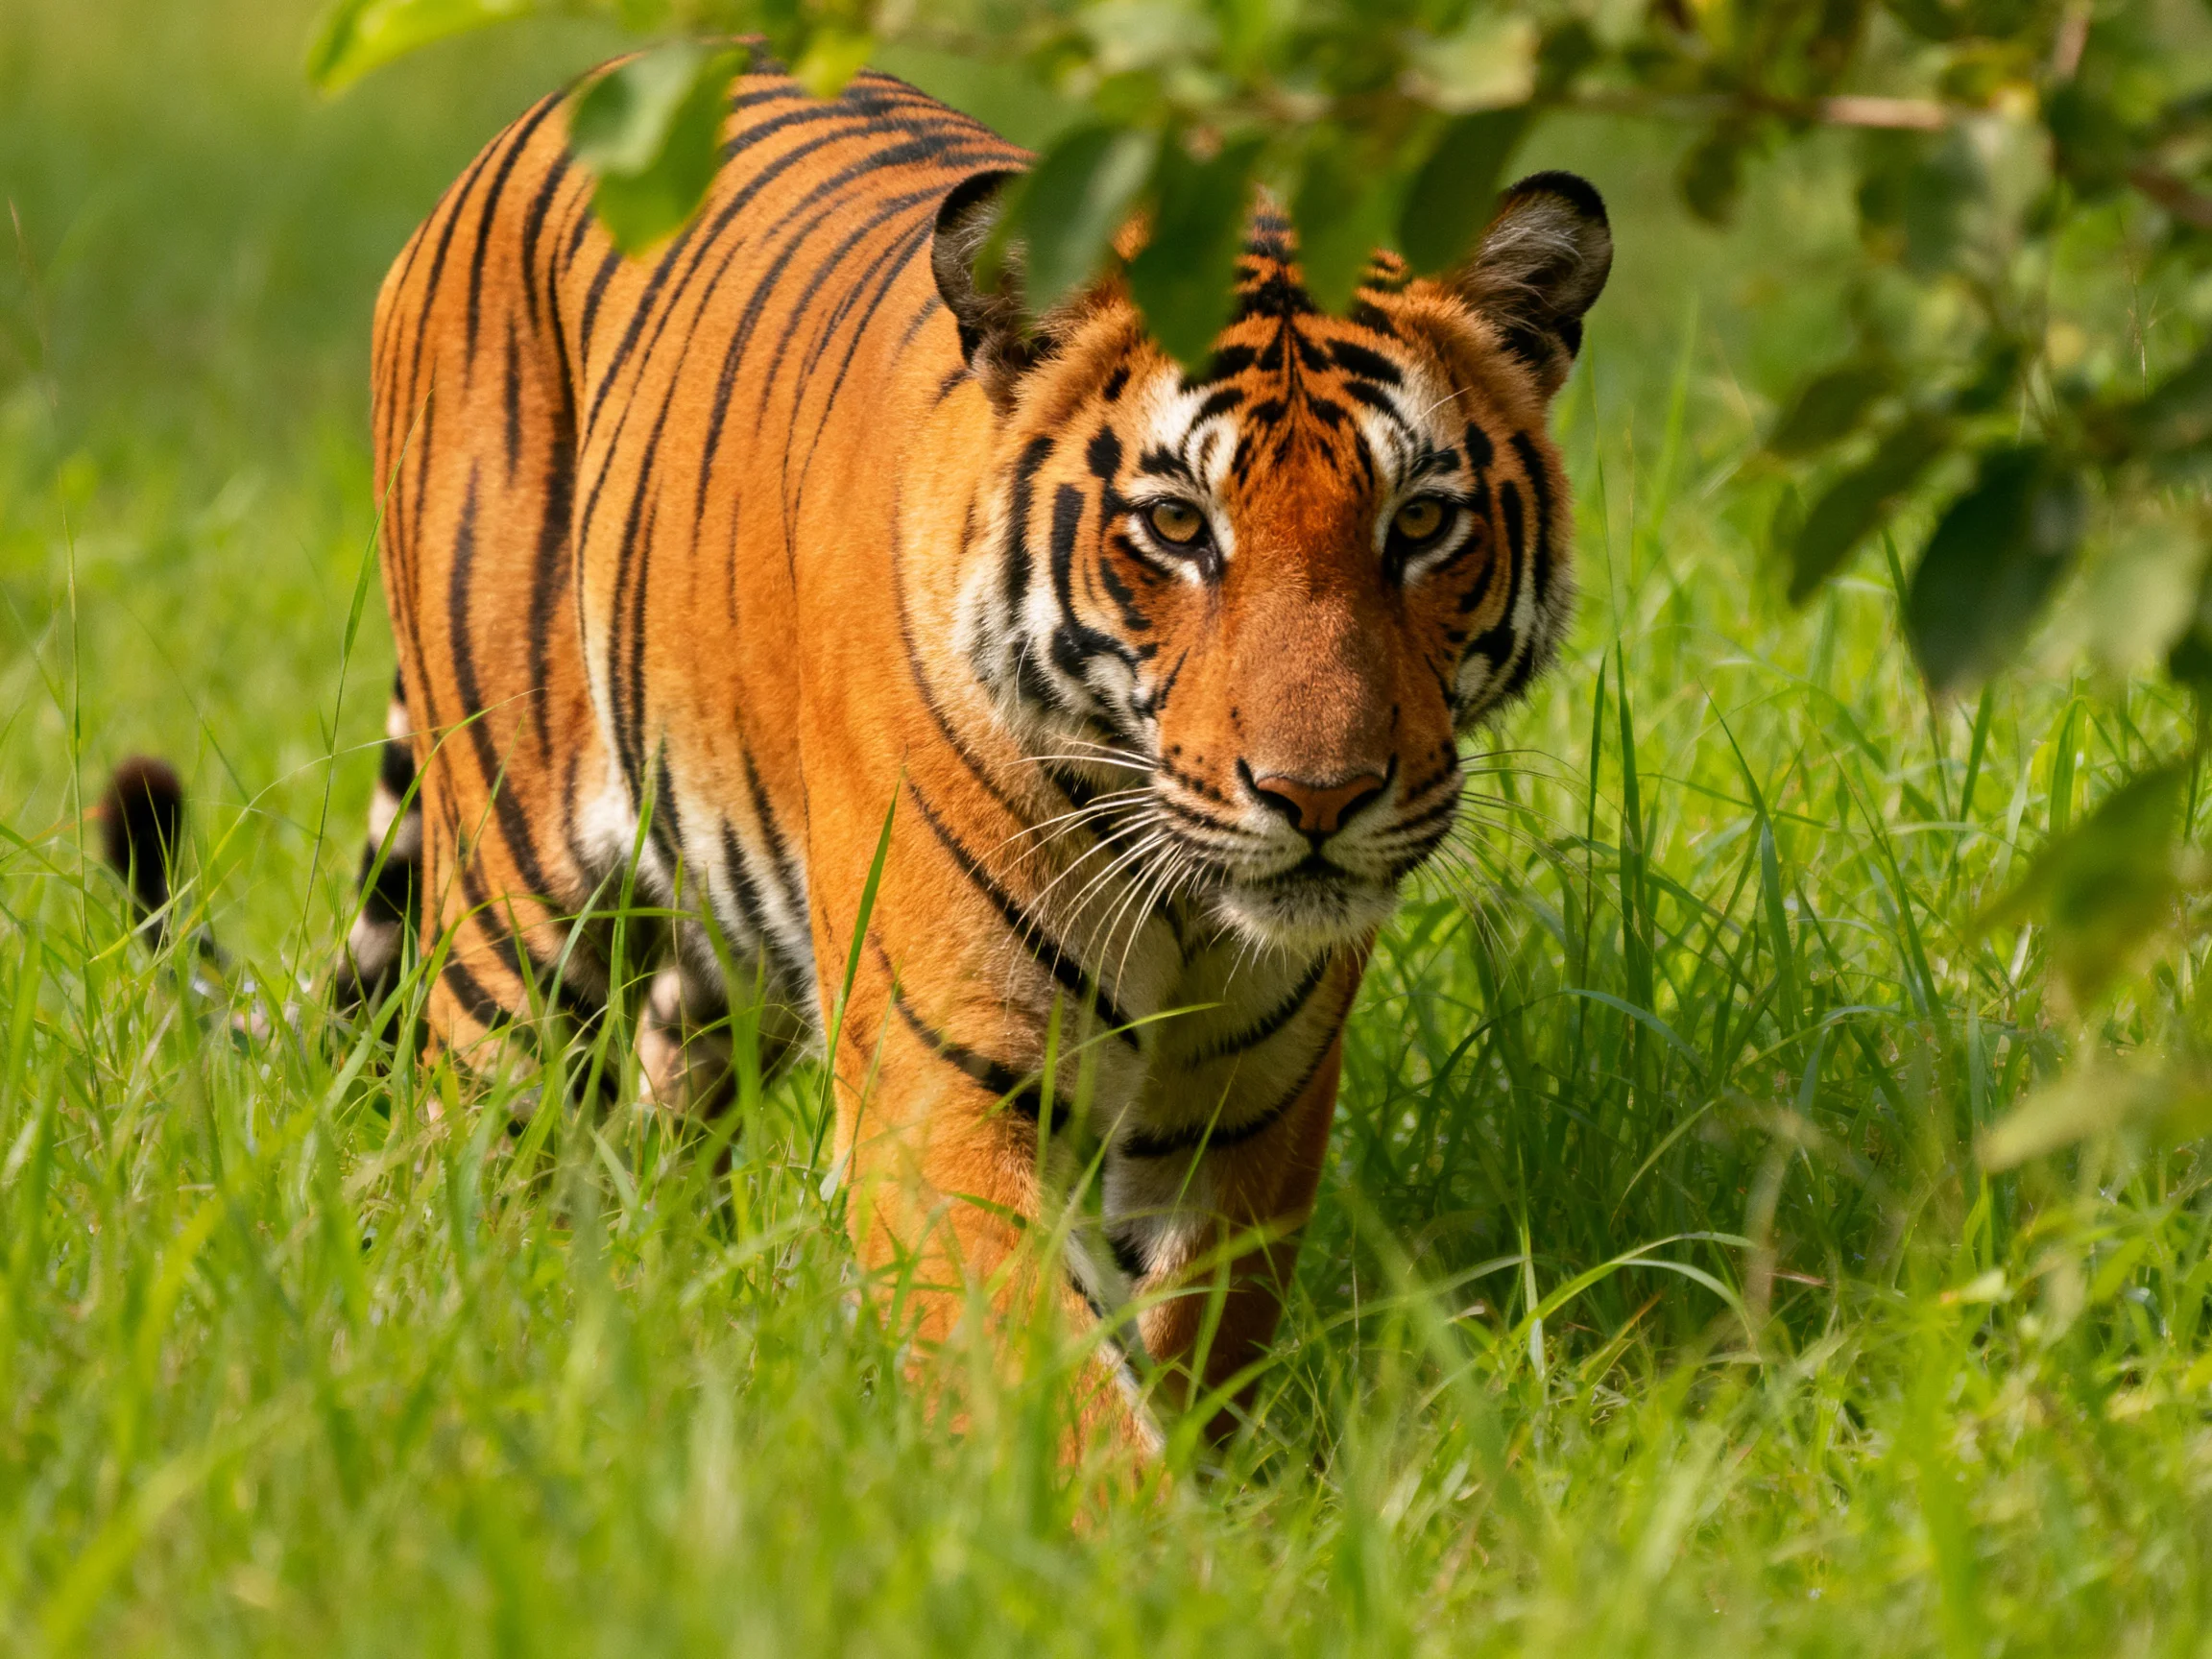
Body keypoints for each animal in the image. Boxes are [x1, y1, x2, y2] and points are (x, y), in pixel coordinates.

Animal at [109, 52, 1609, 1460]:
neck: (1181, 899)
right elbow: (1053, 1385)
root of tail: (561, 102)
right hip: (516, 904)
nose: (1319, 797)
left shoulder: (1246, 1113)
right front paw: (1123, 1533)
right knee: (482, 1144)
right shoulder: (943, 1091)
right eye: (1179, 525)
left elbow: (1188, 1349)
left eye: (1422, 523)